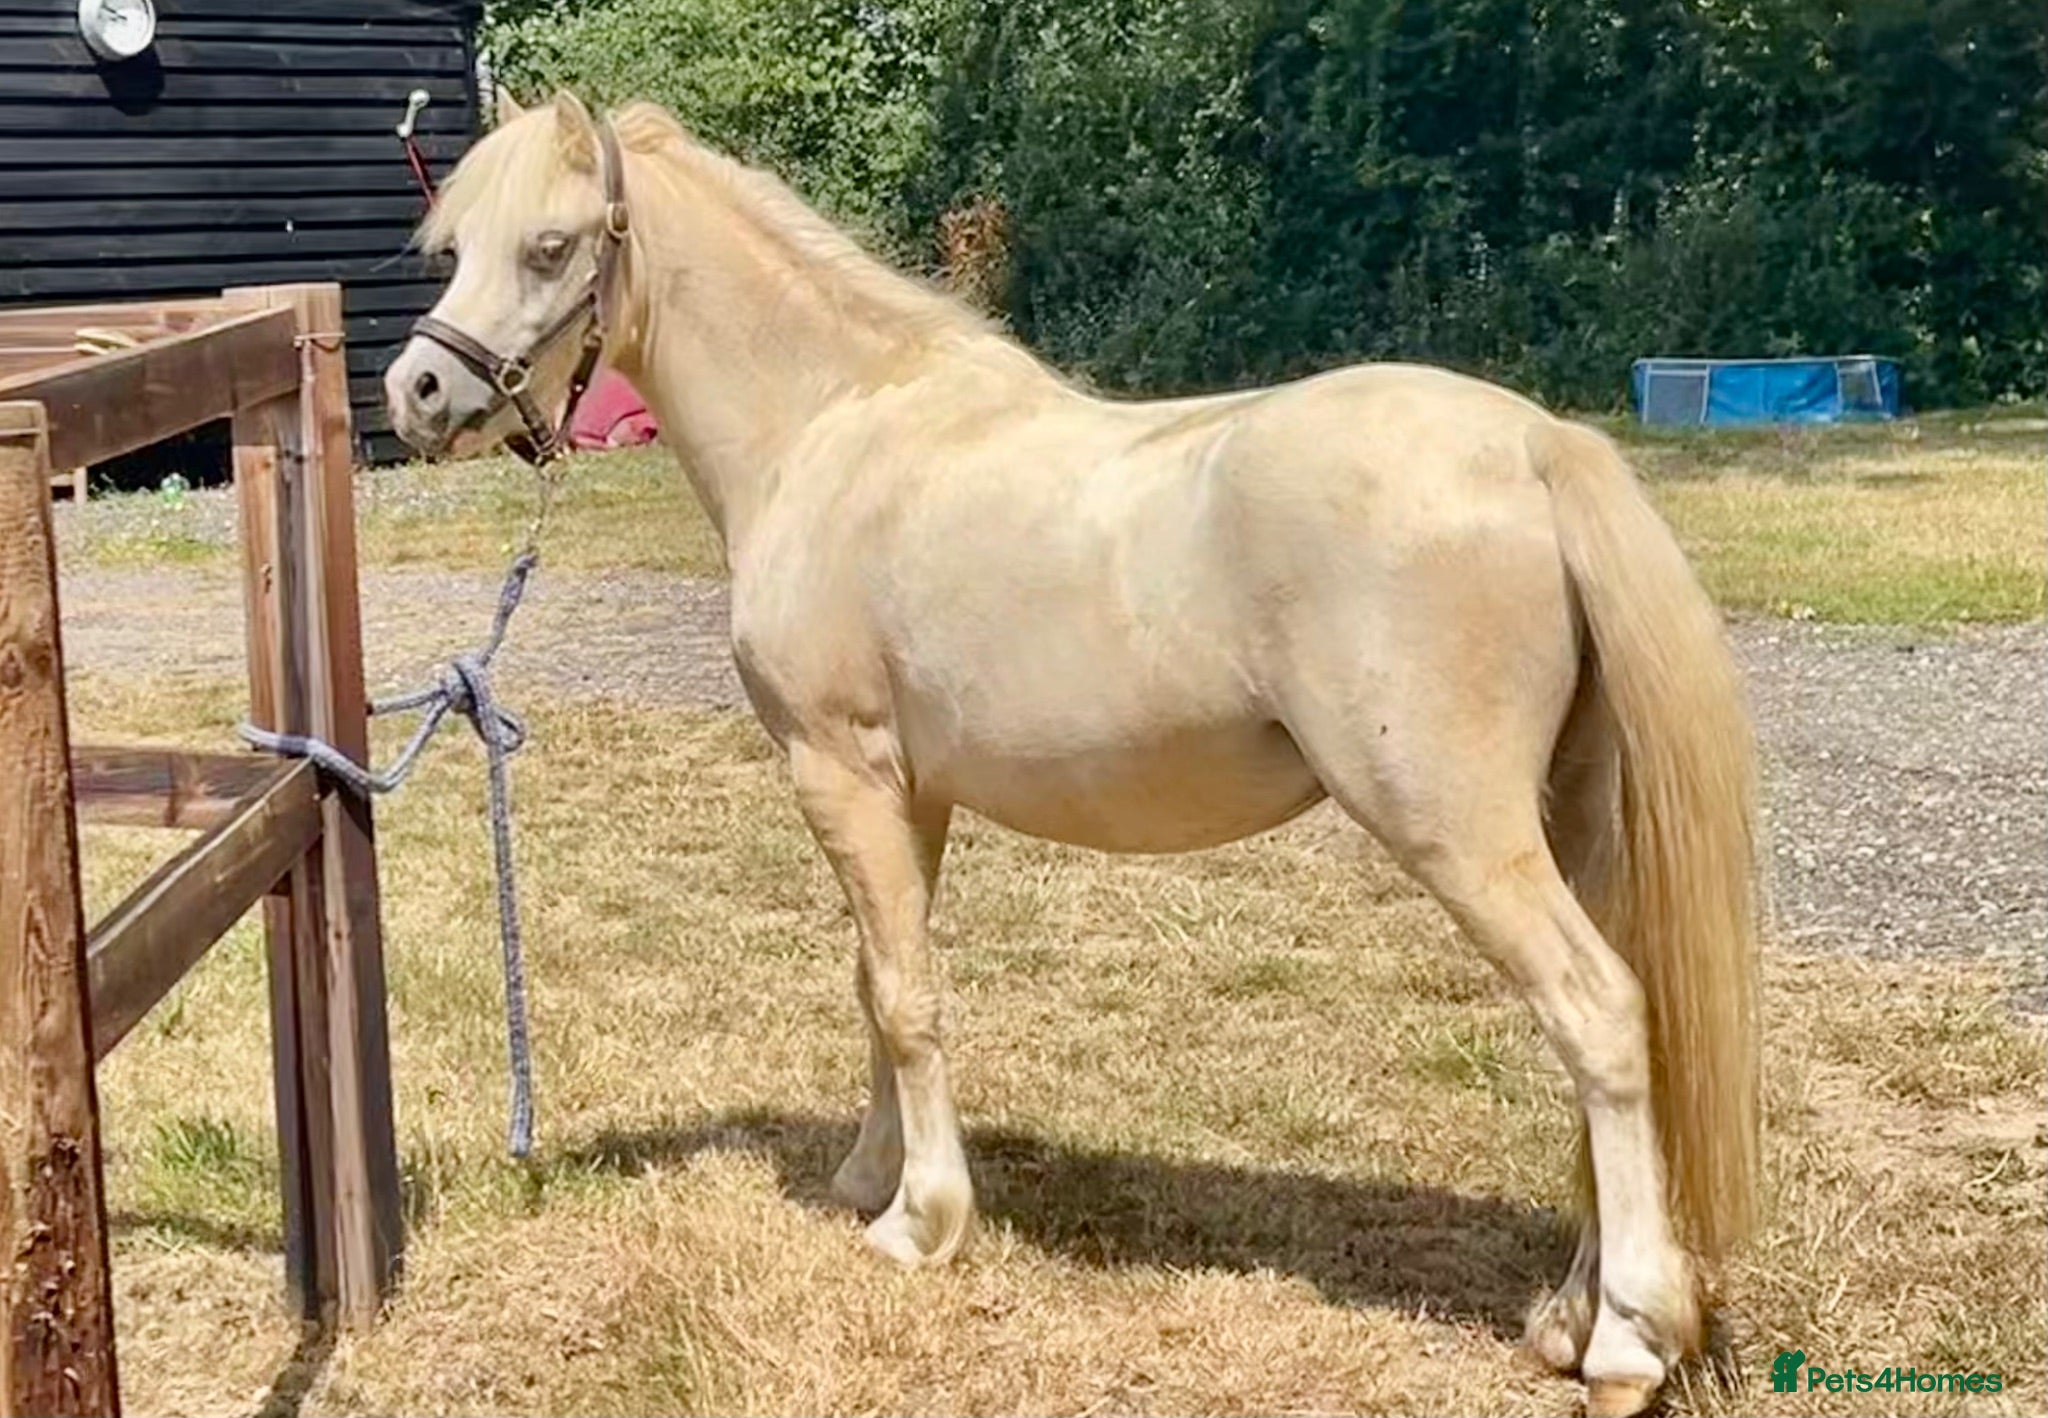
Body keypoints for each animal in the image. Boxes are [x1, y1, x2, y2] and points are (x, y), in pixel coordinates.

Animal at [383, 91, 1761, 1417]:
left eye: (550, 245)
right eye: (452, 247)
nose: (418, 394)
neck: (831, 429)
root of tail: (1534, 446)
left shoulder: (836, 771)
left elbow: (906, 994)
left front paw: (922, 1222)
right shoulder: (906, 795)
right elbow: (880, 980)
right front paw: (870, 1176)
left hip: (1460, 832)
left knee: (1596, 1013)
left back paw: (1626, 1341)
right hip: (1563, 818)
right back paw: (1567, 1314)